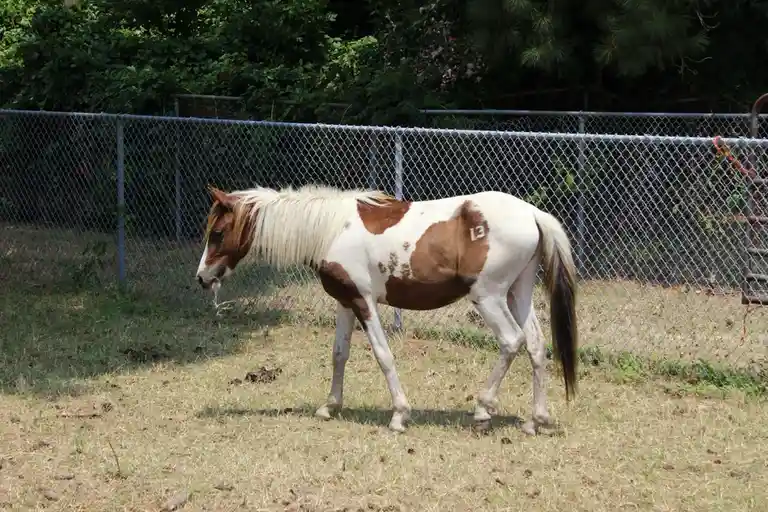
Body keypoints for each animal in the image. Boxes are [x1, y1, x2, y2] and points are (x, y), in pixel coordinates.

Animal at [195, 183, 578, 435]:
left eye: (218, 233)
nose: (202, 278)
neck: (332, 230)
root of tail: (532, 213)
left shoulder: (364, 302)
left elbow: (383, 355)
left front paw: (399, 415)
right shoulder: (345, 302)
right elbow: (339, 353)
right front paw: (329, 406)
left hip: (489, 297)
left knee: (512, 342)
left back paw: (483, 409)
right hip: (518, 293)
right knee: (536, 345)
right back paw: (535, 420)